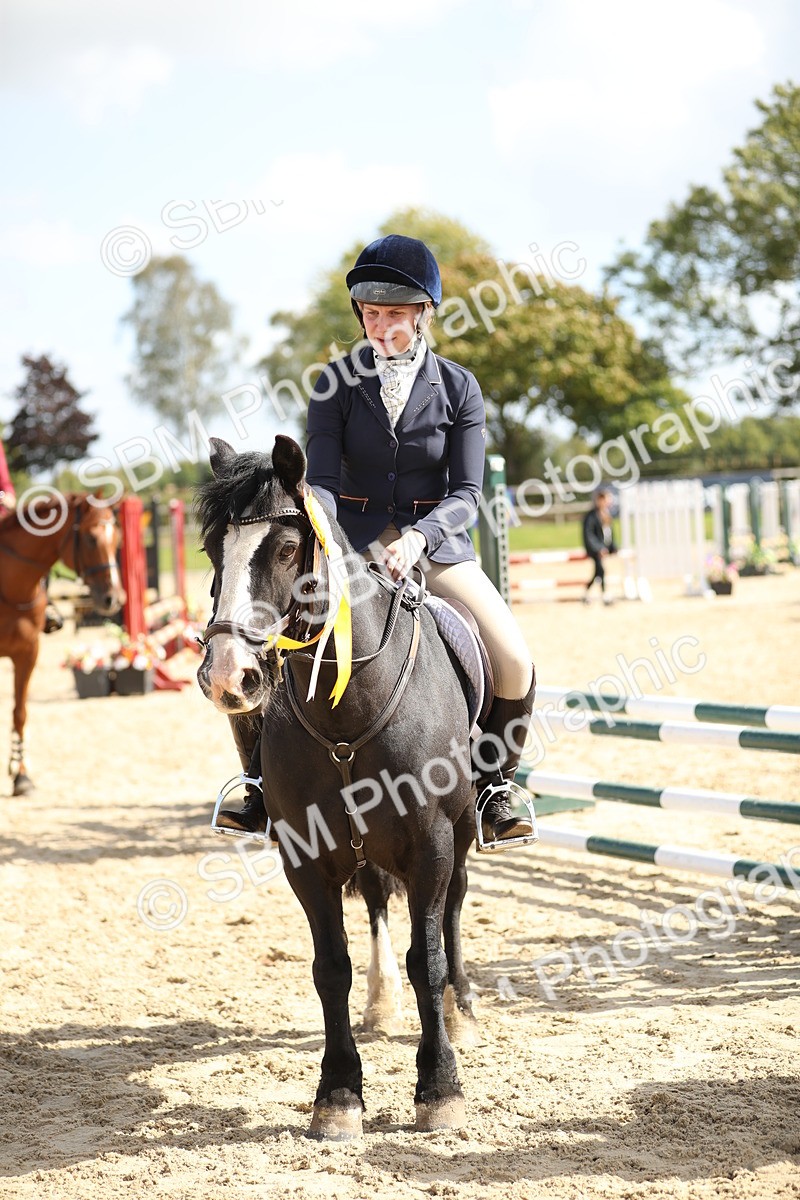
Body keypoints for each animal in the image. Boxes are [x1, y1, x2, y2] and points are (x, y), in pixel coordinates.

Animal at [0, 491, 125, 795]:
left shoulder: (28, 653)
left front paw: (21, 776)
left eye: (117, 539)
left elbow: (20, 713)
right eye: (91, 538)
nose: (114, 598)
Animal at [197, 435, 480, 1139]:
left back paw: (461, 1008)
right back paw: (380, 1005)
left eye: (286, 549)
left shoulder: (431, 843)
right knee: (377, 901)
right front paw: (338, 1095)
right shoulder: (306, 855)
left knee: (453, 907)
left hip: (461, 834)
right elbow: (331, 968)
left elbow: (427, 956)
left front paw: (440, 1088)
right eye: (213, 550)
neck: (347, 711)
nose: (227, 677)